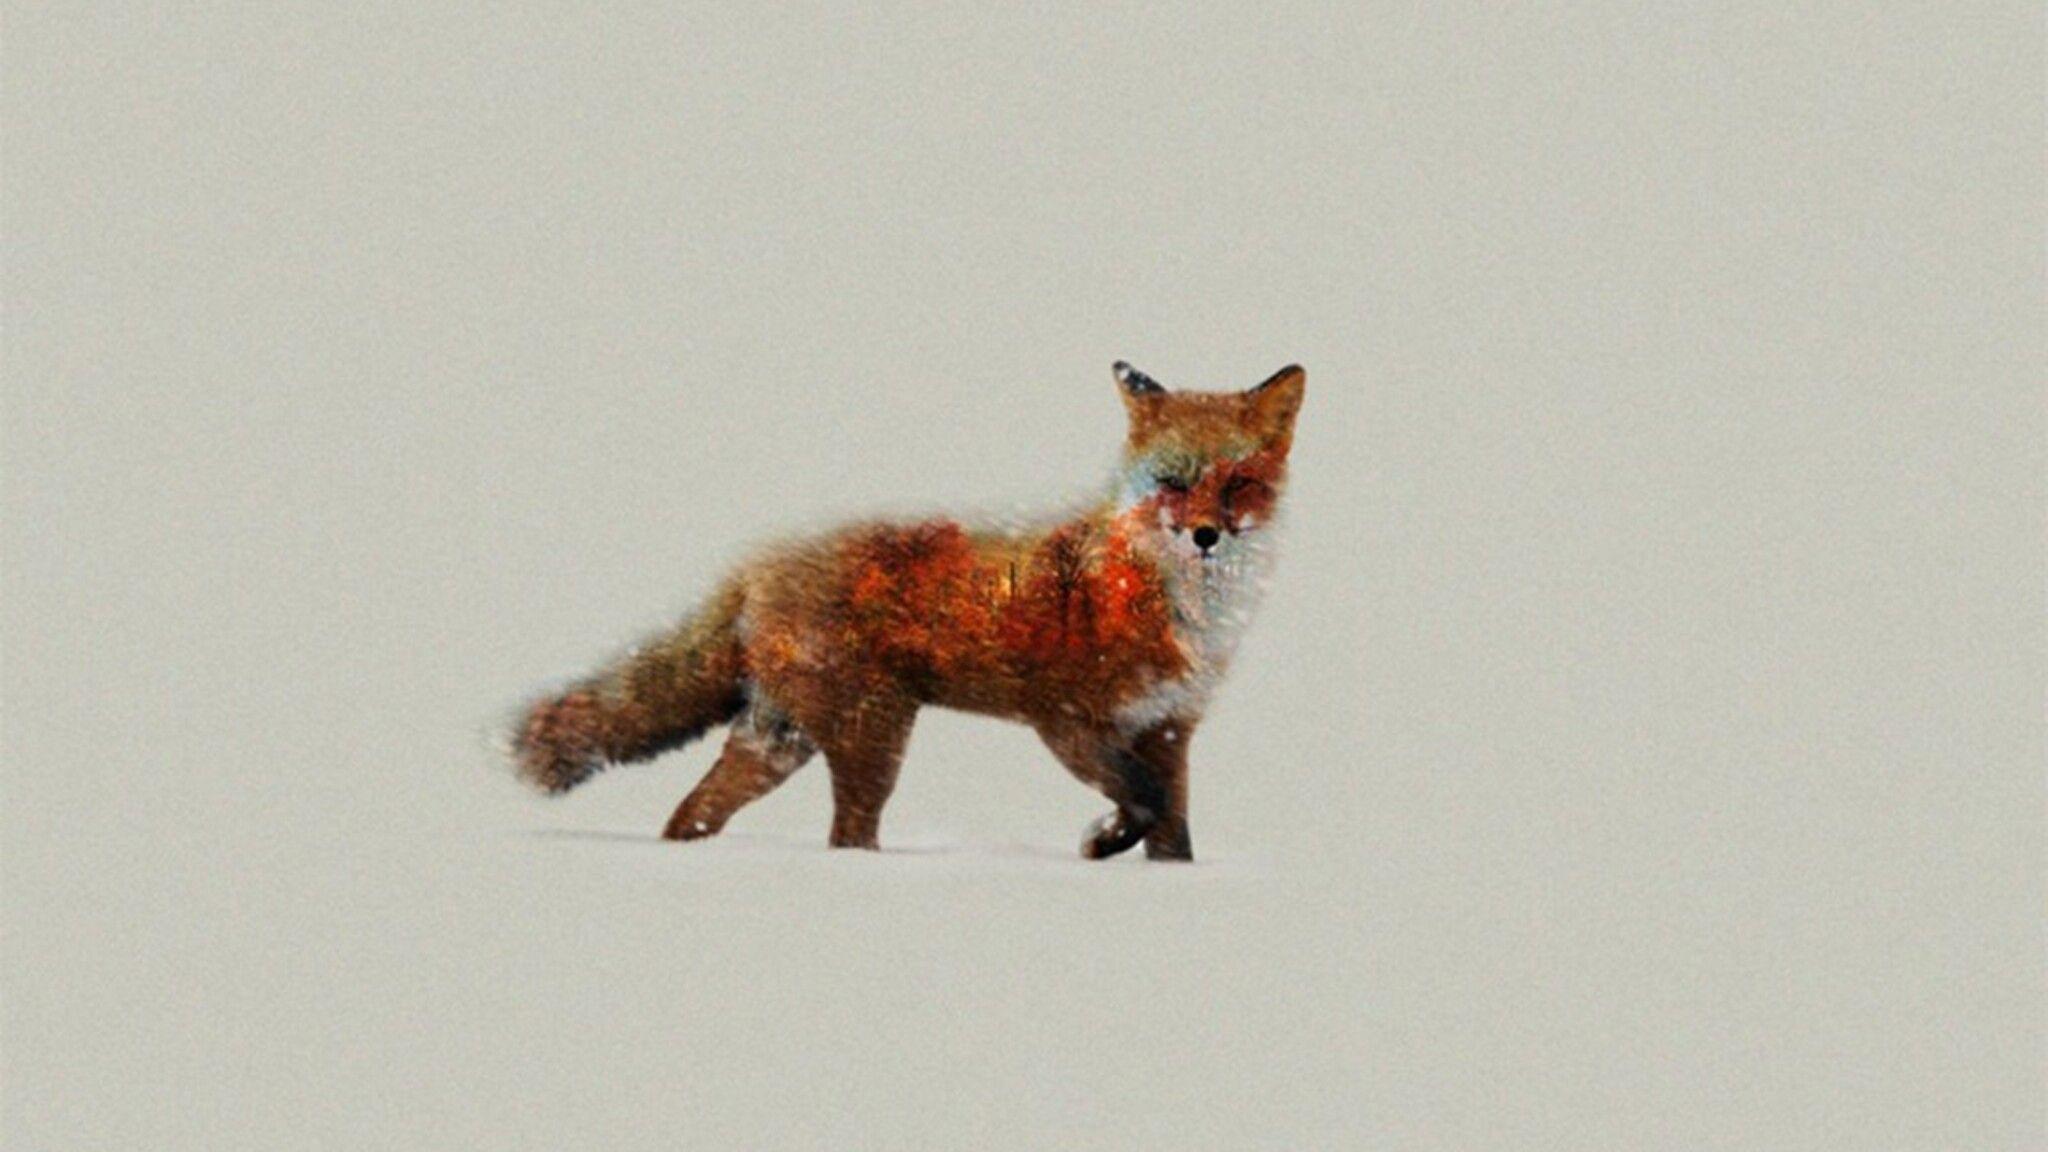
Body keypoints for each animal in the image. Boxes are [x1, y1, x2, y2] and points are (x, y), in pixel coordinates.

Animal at [509, 360, 1304, 861]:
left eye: (1238, 485)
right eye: (1172, 483)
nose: (1205, 536)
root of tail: (757, 559)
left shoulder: (1170, 729)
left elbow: (1174, 833)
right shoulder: (1067, 721)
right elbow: (1142, 803)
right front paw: (1101, 842)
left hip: (783, 739)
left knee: (691, 813)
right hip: (873, 735)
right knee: (845, 838)